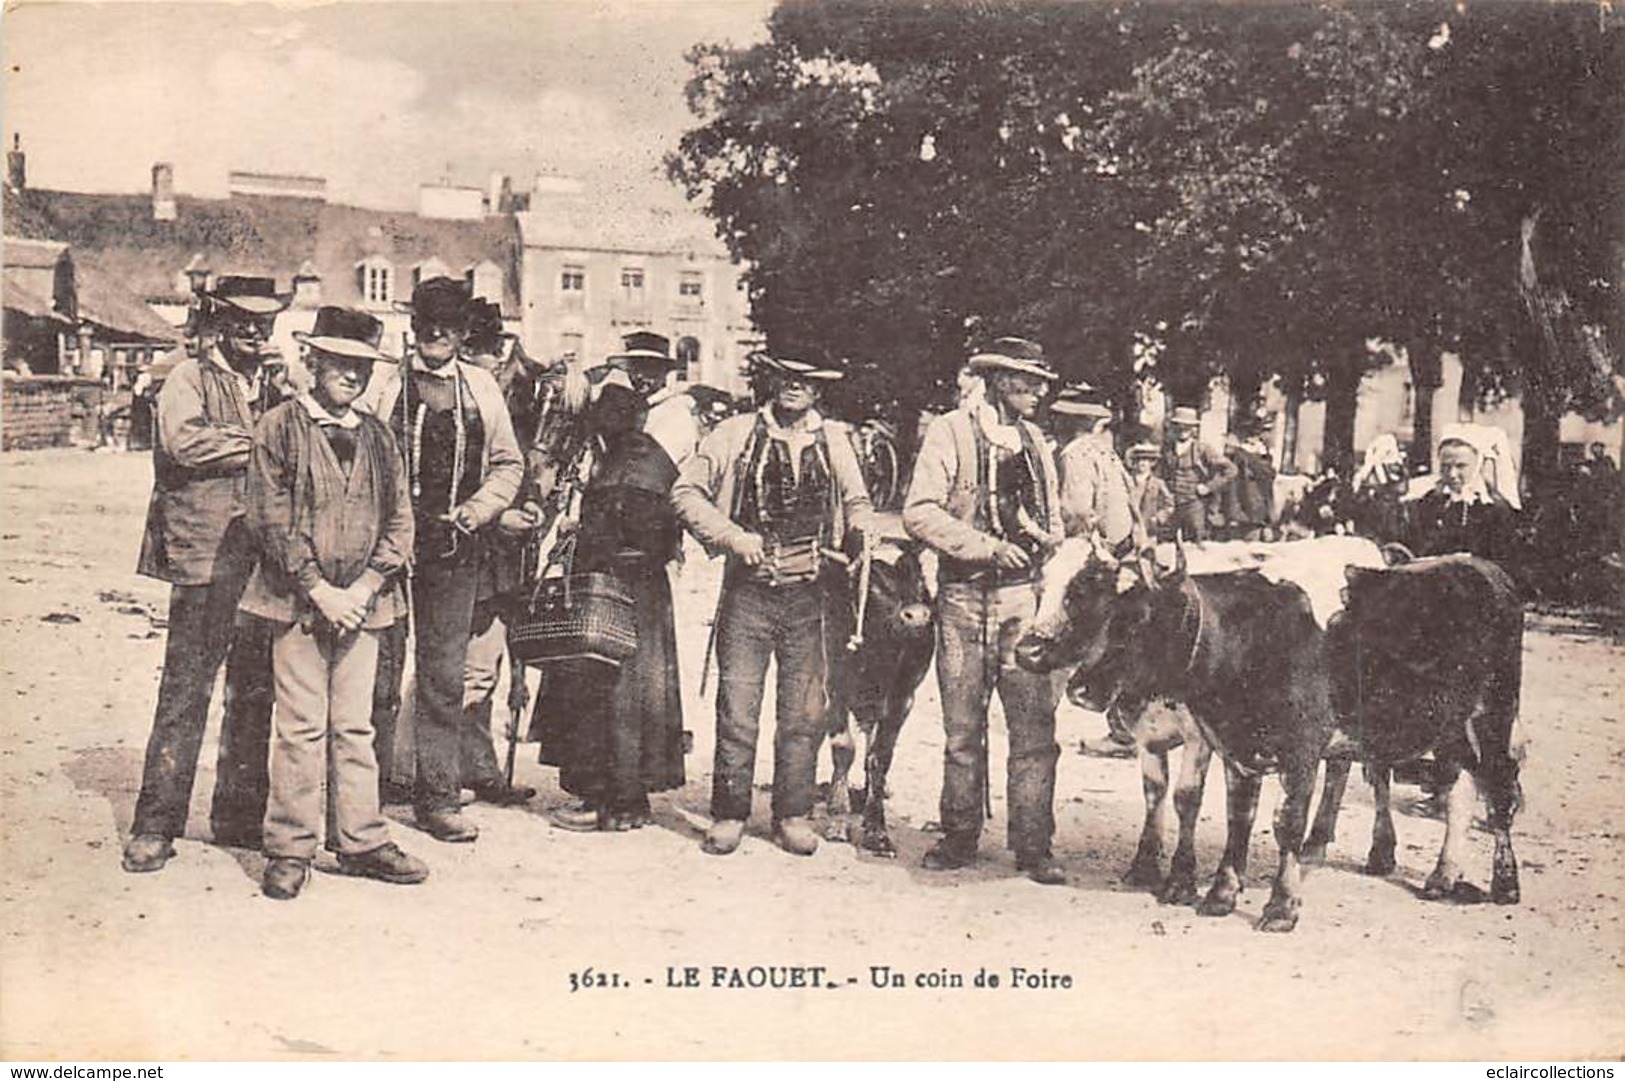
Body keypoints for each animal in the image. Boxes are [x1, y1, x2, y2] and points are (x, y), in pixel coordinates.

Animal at [825, 542, 942, 858]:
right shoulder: (835, 686)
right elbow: (844, 749)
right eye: (873, 578)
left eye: (919, 577)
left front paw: (876, 829)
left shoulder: (904, 697)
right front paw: (837, 819)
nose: (917, 616)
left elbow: (880, 757)